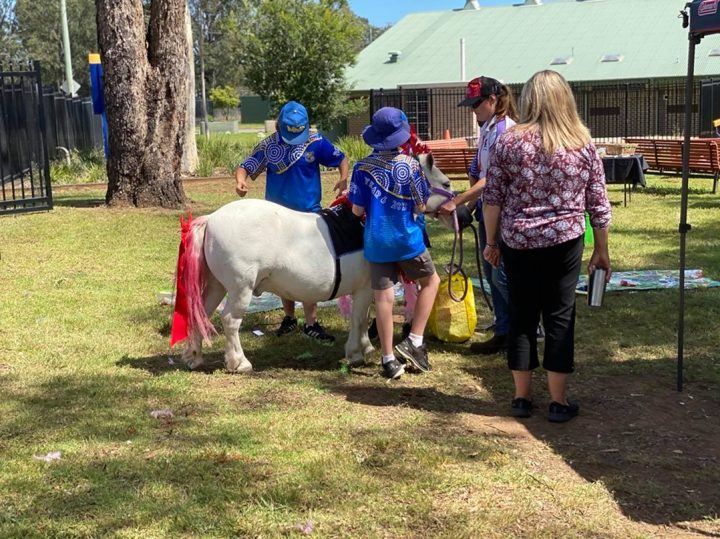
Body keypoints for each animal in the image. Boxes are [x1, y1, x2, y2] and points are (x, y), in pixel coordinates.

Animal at [171, 153, 454, 373]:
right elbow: (359, 318)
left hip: (217, 286)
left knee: (201, 314)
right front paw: (355, 353)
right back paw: (239, 362)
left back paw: (194, 357)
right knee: (230, 321)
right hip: (240, 289)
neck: (364, 223)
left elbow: (364, 319)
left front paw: (365, 348)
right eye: (446, 182)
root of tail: (211, 219)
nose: (457, 212)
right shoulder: (365, 288)